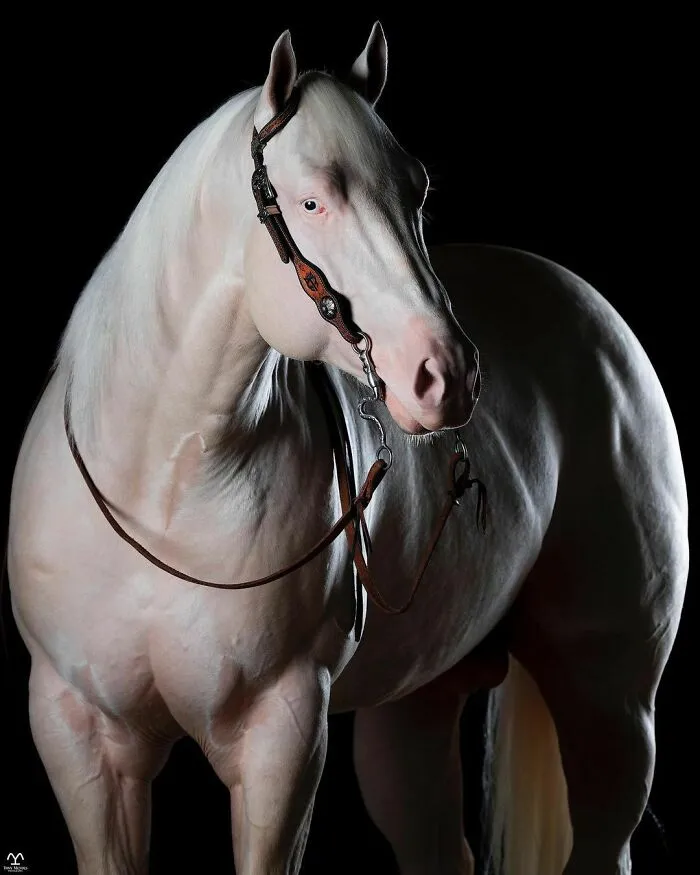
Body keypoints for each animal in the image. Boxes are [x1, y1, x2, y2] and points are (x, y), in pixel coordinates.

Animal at [6, 22, 688, 875]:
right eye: (310, 201)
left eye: (416, 192)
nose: (446, 375)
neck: (162, 491)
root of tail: (601, 320)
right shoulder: (83, 734)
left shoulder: (282, 732)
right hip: (416, 711)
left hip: (611, 700)